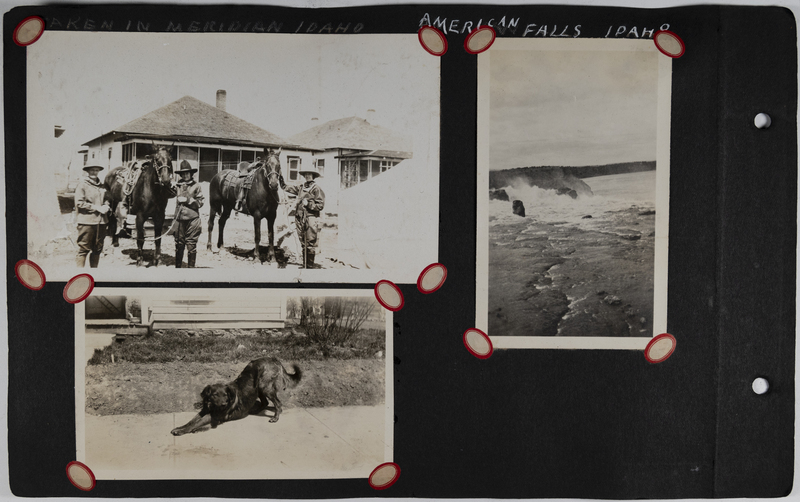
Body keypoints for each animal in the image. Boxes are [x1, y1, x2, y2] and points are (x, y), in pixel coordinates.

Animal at [170, 356, 302, 436]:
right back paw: (254, 410)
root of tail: (274, 359)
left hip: (265, 387)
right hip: (258, 387)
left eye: (225, 395)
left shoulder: (215, 416)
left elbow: (197, 423)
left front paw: (182, 431)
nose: (224, 404)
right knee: (265, 402)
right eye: (215, 395)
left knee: (278, 403)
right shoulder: (204, 411)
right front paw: (180, 427)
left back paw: (275, 418)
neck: (213, 406)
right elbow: (191, 421)